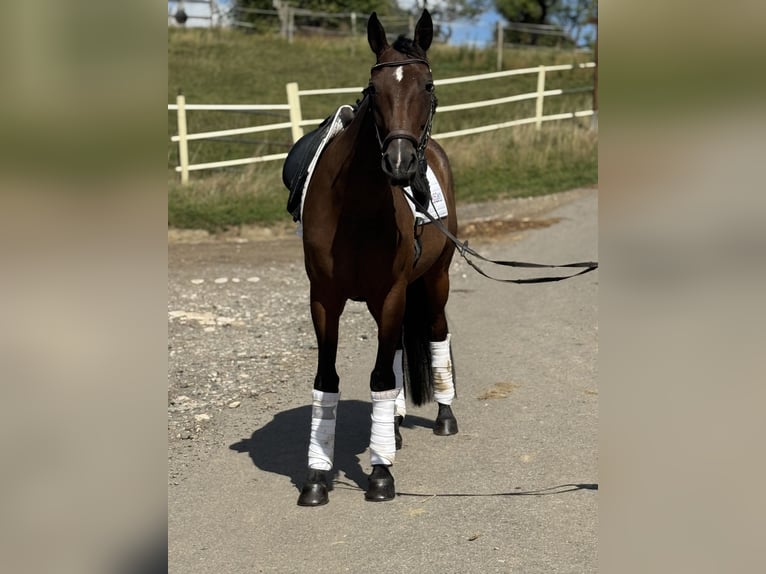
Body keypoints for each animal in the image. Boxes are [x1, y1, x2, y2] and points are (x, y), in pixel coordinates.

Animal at [296, 9, 459, 506]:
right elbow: (327, 380)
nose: (401, 164)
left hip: (435, 282)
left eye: (428, 85)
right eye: (375, 88)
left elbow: (382, 378)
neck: (356, 207)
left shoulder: (390, 294)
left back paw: (444, 416)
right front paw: (316, 475)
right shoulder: (325, 298)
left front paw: (381, 472)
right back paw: (398, 425)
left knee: (435, 334)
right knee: (403, 346)